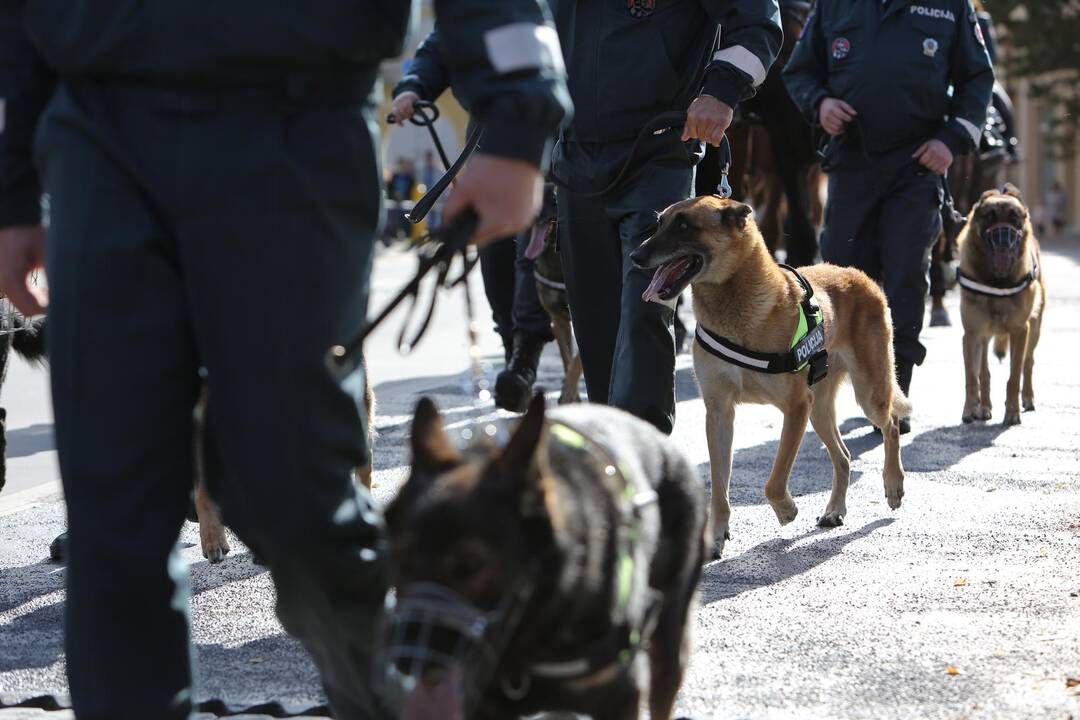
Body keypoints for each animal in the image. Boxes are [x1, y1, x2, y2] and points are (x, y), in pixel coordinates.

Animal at [630, 198, 911, 561]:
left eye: (683, 225)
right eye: (660, 223)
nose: (635, 256)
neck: (734, 300)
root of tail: (858, 274)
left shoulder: (795, 408)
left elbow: (774, 482)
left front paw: (787, 511)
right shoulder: (719, 413)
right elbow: (719, 488)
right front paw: (716, 536)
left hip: (867, 392)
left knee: (890, 424)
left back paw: (893, 484)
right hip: (819, 412)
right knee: (844, 456)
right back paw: (835, 509)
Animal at [959, 183, 1041, 425]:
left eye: (1014, 218)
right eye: (990, 217)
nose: (1004, 241)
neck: (996, 281)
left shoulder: (1020, 331)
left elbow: (1014, 376)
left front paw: (1012, 411)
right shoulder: (971, 334)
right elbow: (972, 376)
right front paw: (970, 409)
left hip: (1034, 331)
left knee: (1028, 363)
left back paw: (1027, 398)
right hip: (984, 336)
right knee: (983, 372)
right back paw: (983, 407)